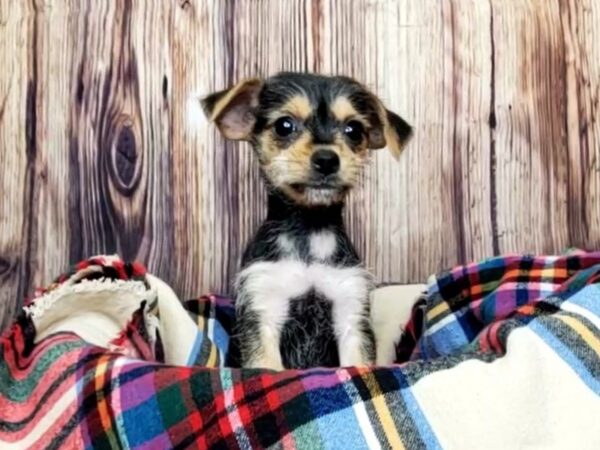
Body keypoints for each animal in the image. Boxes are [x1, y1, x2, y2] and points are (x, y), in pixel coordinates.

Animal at [202, 73, 412, 370]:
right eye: (284, 125)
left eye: (354, 130)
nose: (327, 159)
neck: (310, 235)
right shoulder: (262, 308)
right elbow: (266, 366)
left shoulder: (350, 311)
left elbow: (358, 362)